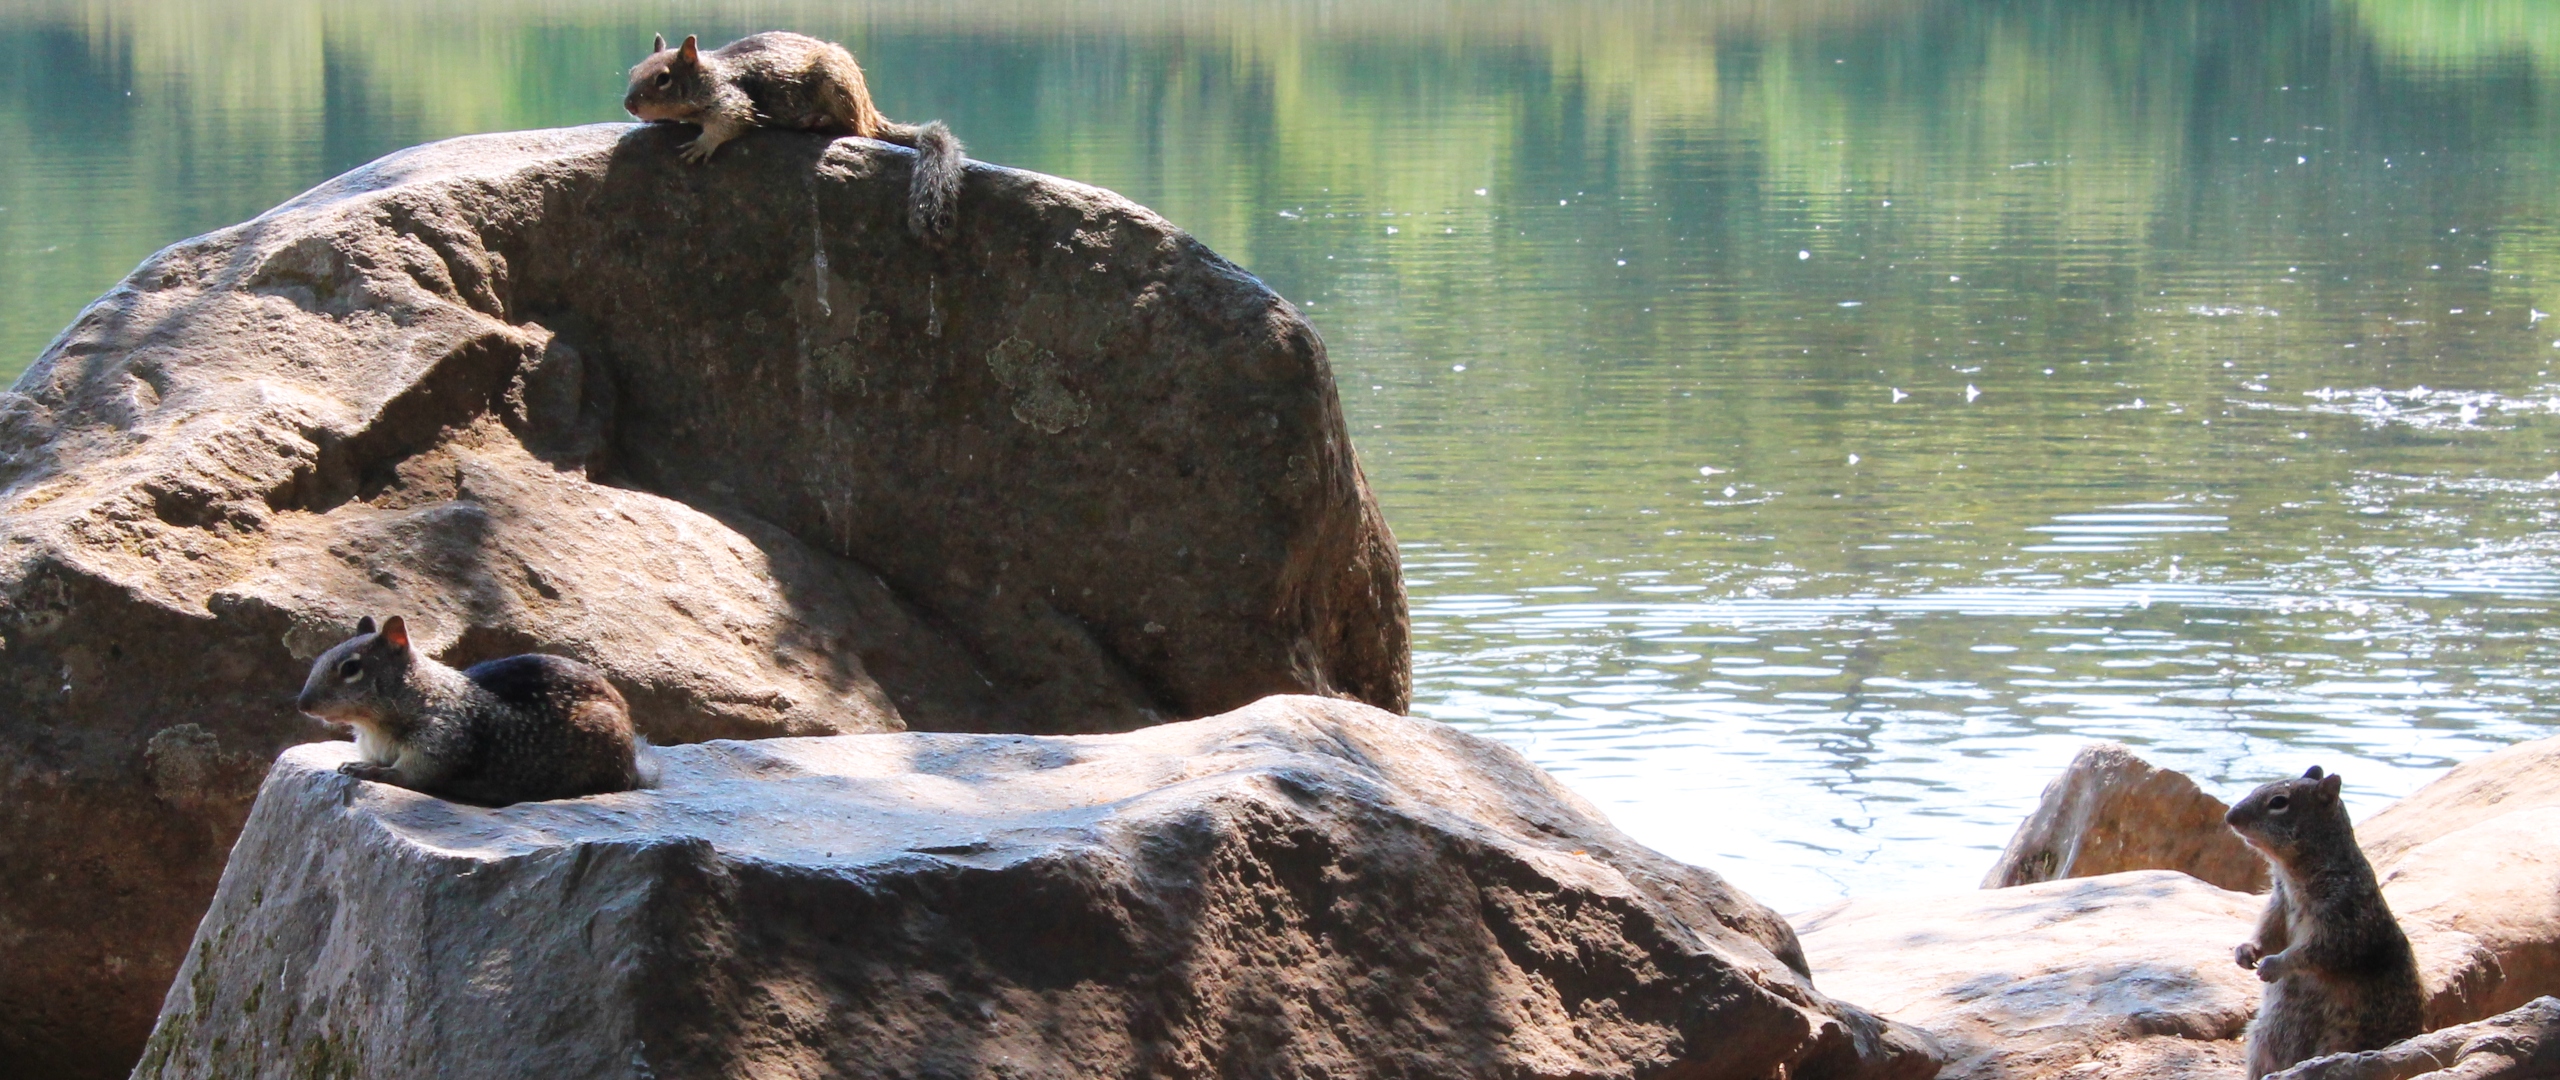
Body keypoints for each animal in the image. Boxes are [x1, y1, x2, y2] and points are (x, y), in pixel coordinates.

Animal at [295, 616, 658, 807]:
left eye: (350, 668)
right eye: (321, 657)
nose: (302, 704)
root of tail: (635, 768)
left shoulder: (441, 739)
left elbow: (409, 775)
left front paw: (368, 771)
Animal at [622, 31, 967, 237]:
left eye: (663, 79)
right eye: (632, 71)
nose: (629, 104)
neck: (708, 74)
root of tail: (869, 109)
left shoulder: (732, 99)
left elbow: (729, 122)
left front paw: (701, 145)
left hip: (836, 86)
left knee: (852, 127)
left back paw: (814, 121)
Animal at [2225, 765, 2425, 1079]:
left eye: (2279, 802)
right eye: (2258, 787)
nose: (2229, 817)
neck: (2291, 875)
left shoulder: (2344, 915)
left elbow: (2319, 951)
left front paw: (2274, 965)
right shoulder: (2277, 906)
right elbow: (2268, 935)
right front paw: (2246, 951)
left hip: (2339, 1042)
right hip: (2260, 1039)